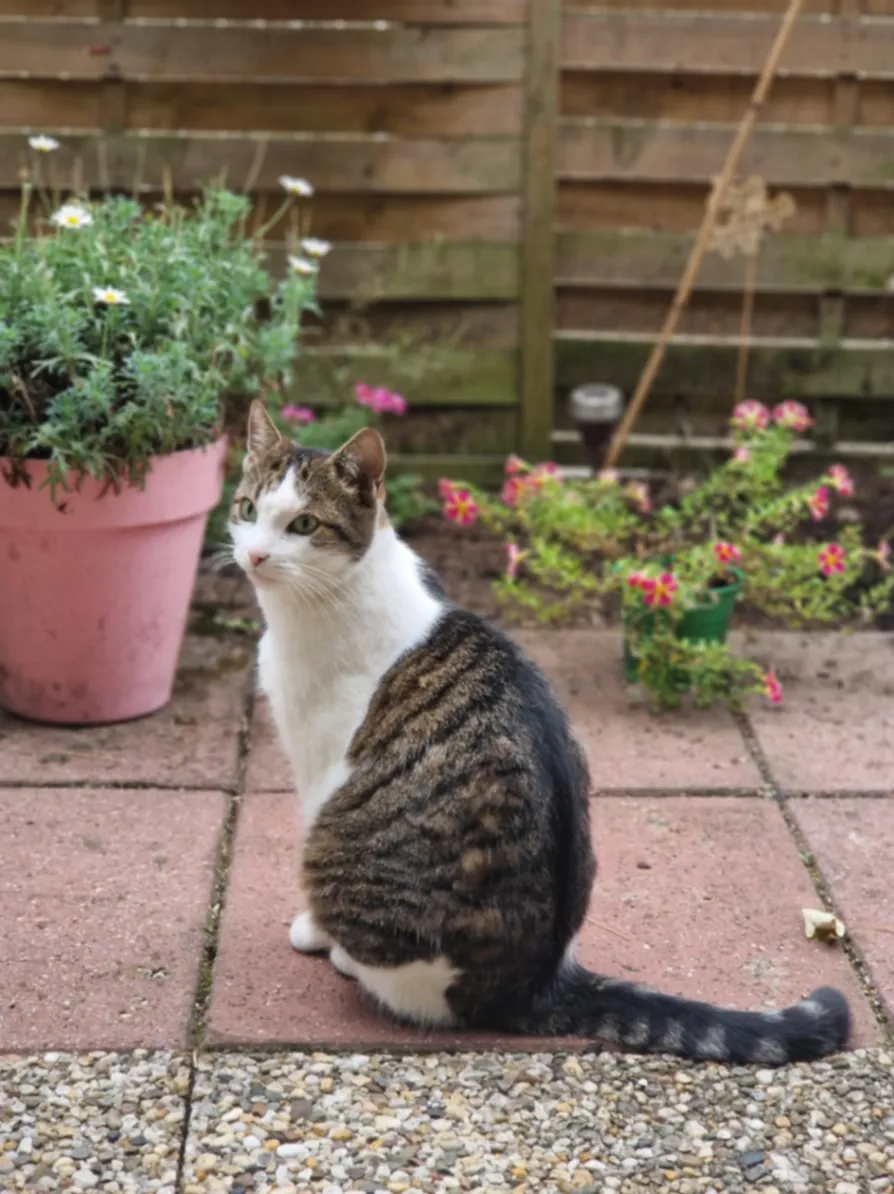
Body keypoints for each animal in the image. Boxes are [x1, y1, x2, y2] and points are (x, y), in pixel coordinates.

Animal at [229, 399, 850, 1065]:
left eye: (304, 524)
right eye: (248, 510)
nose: (255, 556)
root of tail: (533, 984)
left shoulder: (319, 763)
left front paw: (313, 932)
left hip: (344, 849)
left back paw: (346, 956)